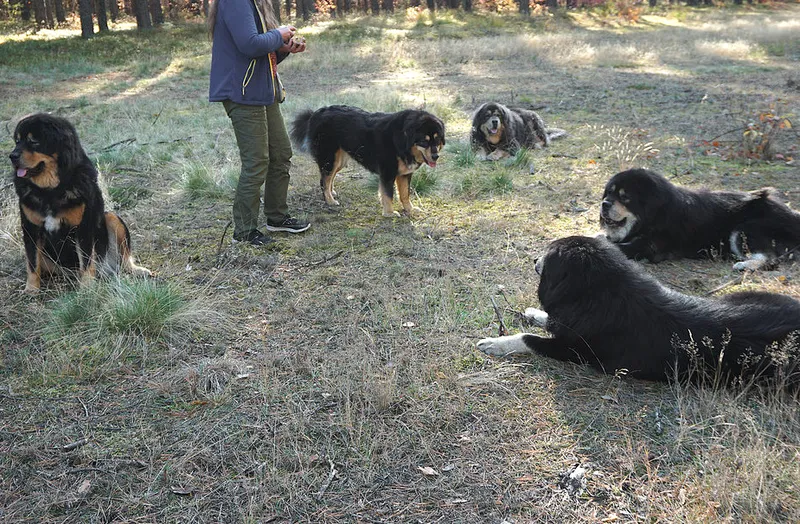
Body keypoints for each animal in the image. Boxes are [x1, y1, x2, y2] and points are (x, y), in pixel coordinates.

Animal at [10, 113, 151, 293]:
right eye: (17, 141)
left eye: (33, 141)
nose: (12, 156)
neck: (51, 190)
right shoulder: (31, 229)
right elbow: (32, 263)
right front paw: (31, 290)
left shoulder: (83, 227)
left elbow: (86, 260)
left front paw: (86, 288)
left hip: (112, 218)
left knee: (124, 259)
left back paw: (137, 270)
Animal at [290, 105, 445, 217]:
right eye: (424, 141)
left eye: (437, 140)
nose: (436, 156)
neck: (402, 139)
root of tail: (316, 114)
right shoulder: (388, 173)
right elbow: (388, 195)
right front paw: (389, 213)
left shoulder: (405, 174)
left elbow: (405, 194)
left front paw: (410, 209)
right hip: (330, 159)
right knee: (323, 181)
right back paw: (330, 201)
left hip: (338, 161)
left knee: (329, 178)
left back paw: (332, 192)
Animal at [478, 235, 800, 385]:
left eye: (547, 257)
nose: (534, 259)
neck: (600, 293)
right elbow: (549, 321)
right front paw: (534, 313)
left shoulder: (576, 351)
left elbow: (529, 339)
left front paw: (496, 343)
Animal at [600, 168, 800, 271]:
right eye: (609, 193)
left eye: (625, 197)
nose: (604, 204)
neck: (656, 214)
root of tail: (792, 216)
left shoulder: (649, 246)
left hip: (745, 229)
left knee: (769, 257)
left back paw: (745, 265)